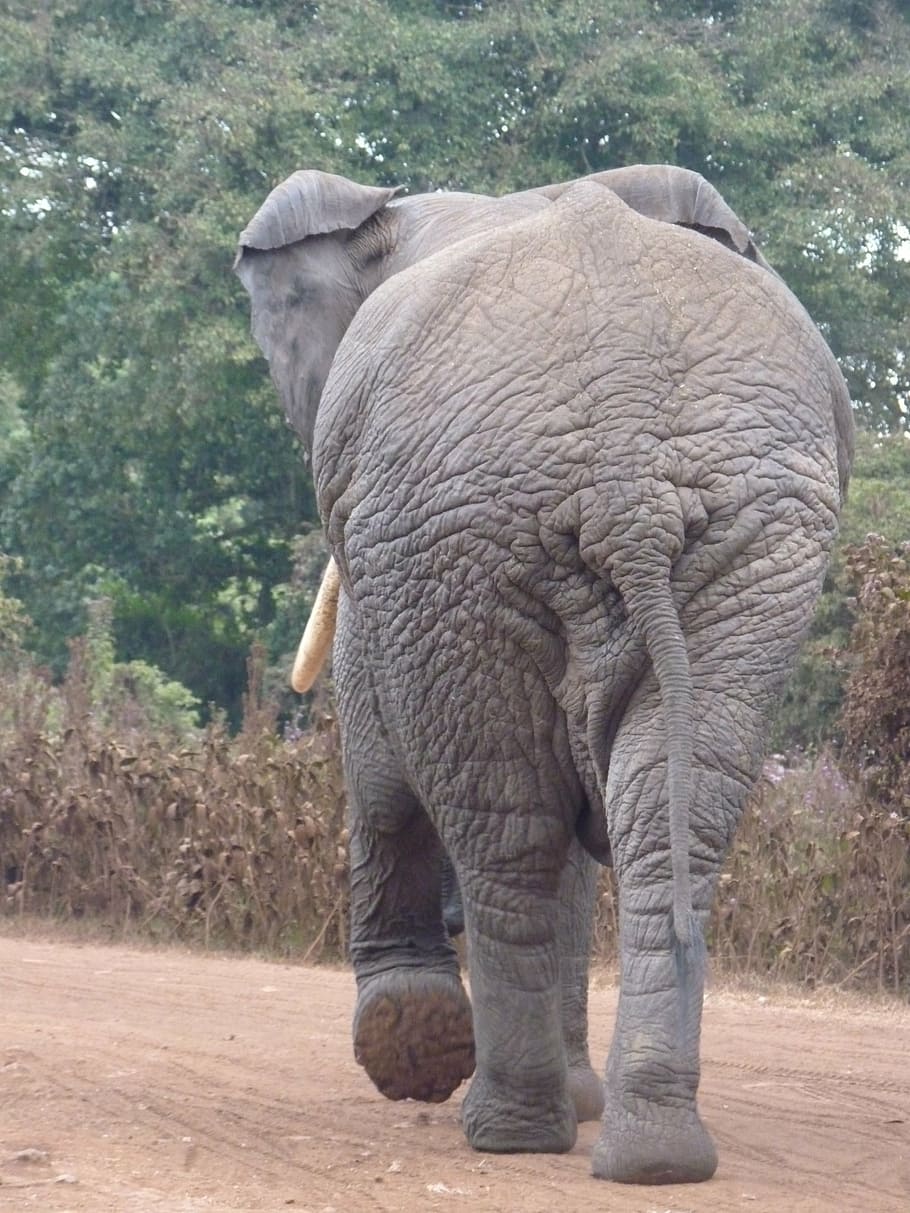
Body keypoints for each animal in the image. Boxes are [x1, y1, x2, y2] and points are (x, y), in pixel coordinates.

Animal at [236, 166, 854, 1179]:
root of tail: (629, 462)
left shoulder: (374, 534)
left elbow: (377, 751)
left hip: (449, 535)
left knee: (505, 819)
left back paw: (502, 1120)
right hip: (750, 539)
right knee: (661, 808)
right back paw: (650, 1153)